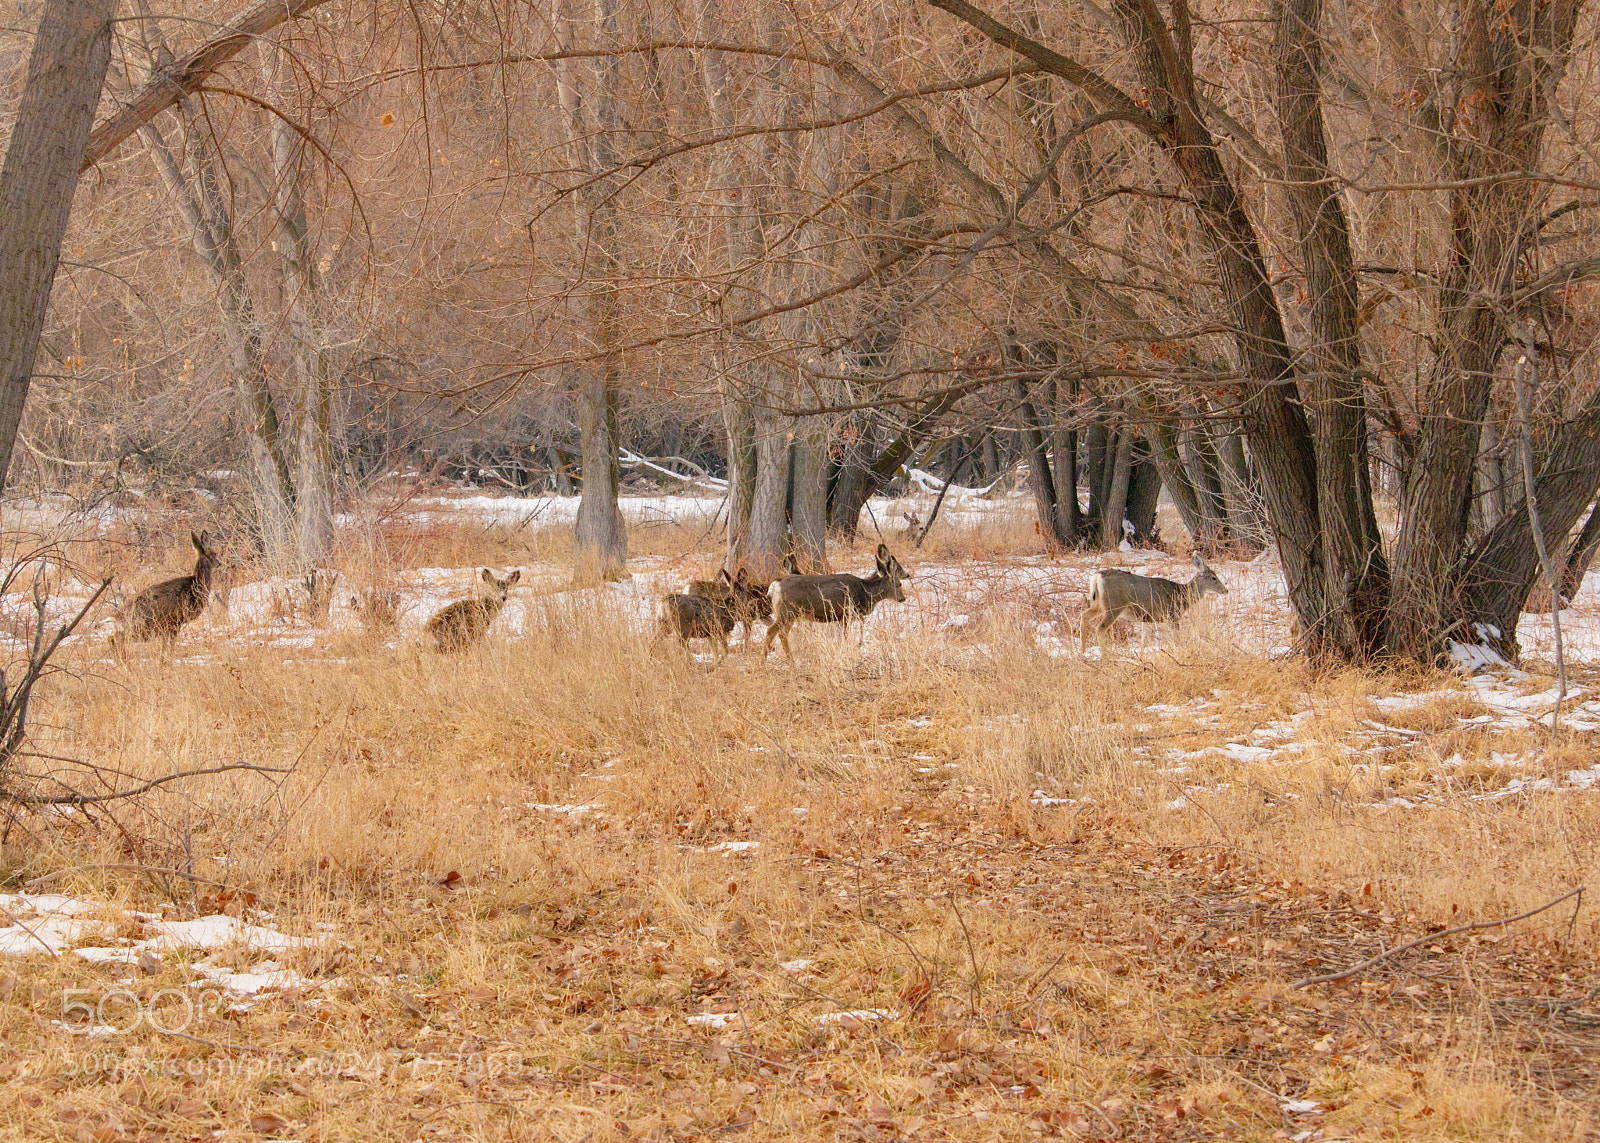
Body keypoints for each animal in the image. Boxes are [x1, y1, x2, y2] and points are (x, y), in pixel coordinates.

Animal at [764, 543, 911, 659]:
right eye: (899, 584)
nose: (902, 598)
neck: (864, 592)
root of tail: (775, 585)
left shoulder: (844, 616)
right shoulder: (846, 613)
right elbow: (846, 636)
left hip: (790, 614)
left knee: (782, 634)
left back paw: (791, 660)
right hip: (787, 612)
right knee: (771, 631)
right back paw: (764, 661)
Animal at [1079, 553, 1228, 653]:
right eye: (1213, 578)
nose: (1226, 590)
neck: (1182, 595)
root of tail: (1097, 576)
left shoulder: (1147, 619)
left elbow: (1143, 642)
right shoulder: (1172, 615)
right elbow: (1177, 639)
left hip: (1098, 604)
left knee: (1084, 616)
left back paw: (1082, 652)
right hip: (1114, 605)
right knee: (1100, 628)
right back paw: (1105, 657)